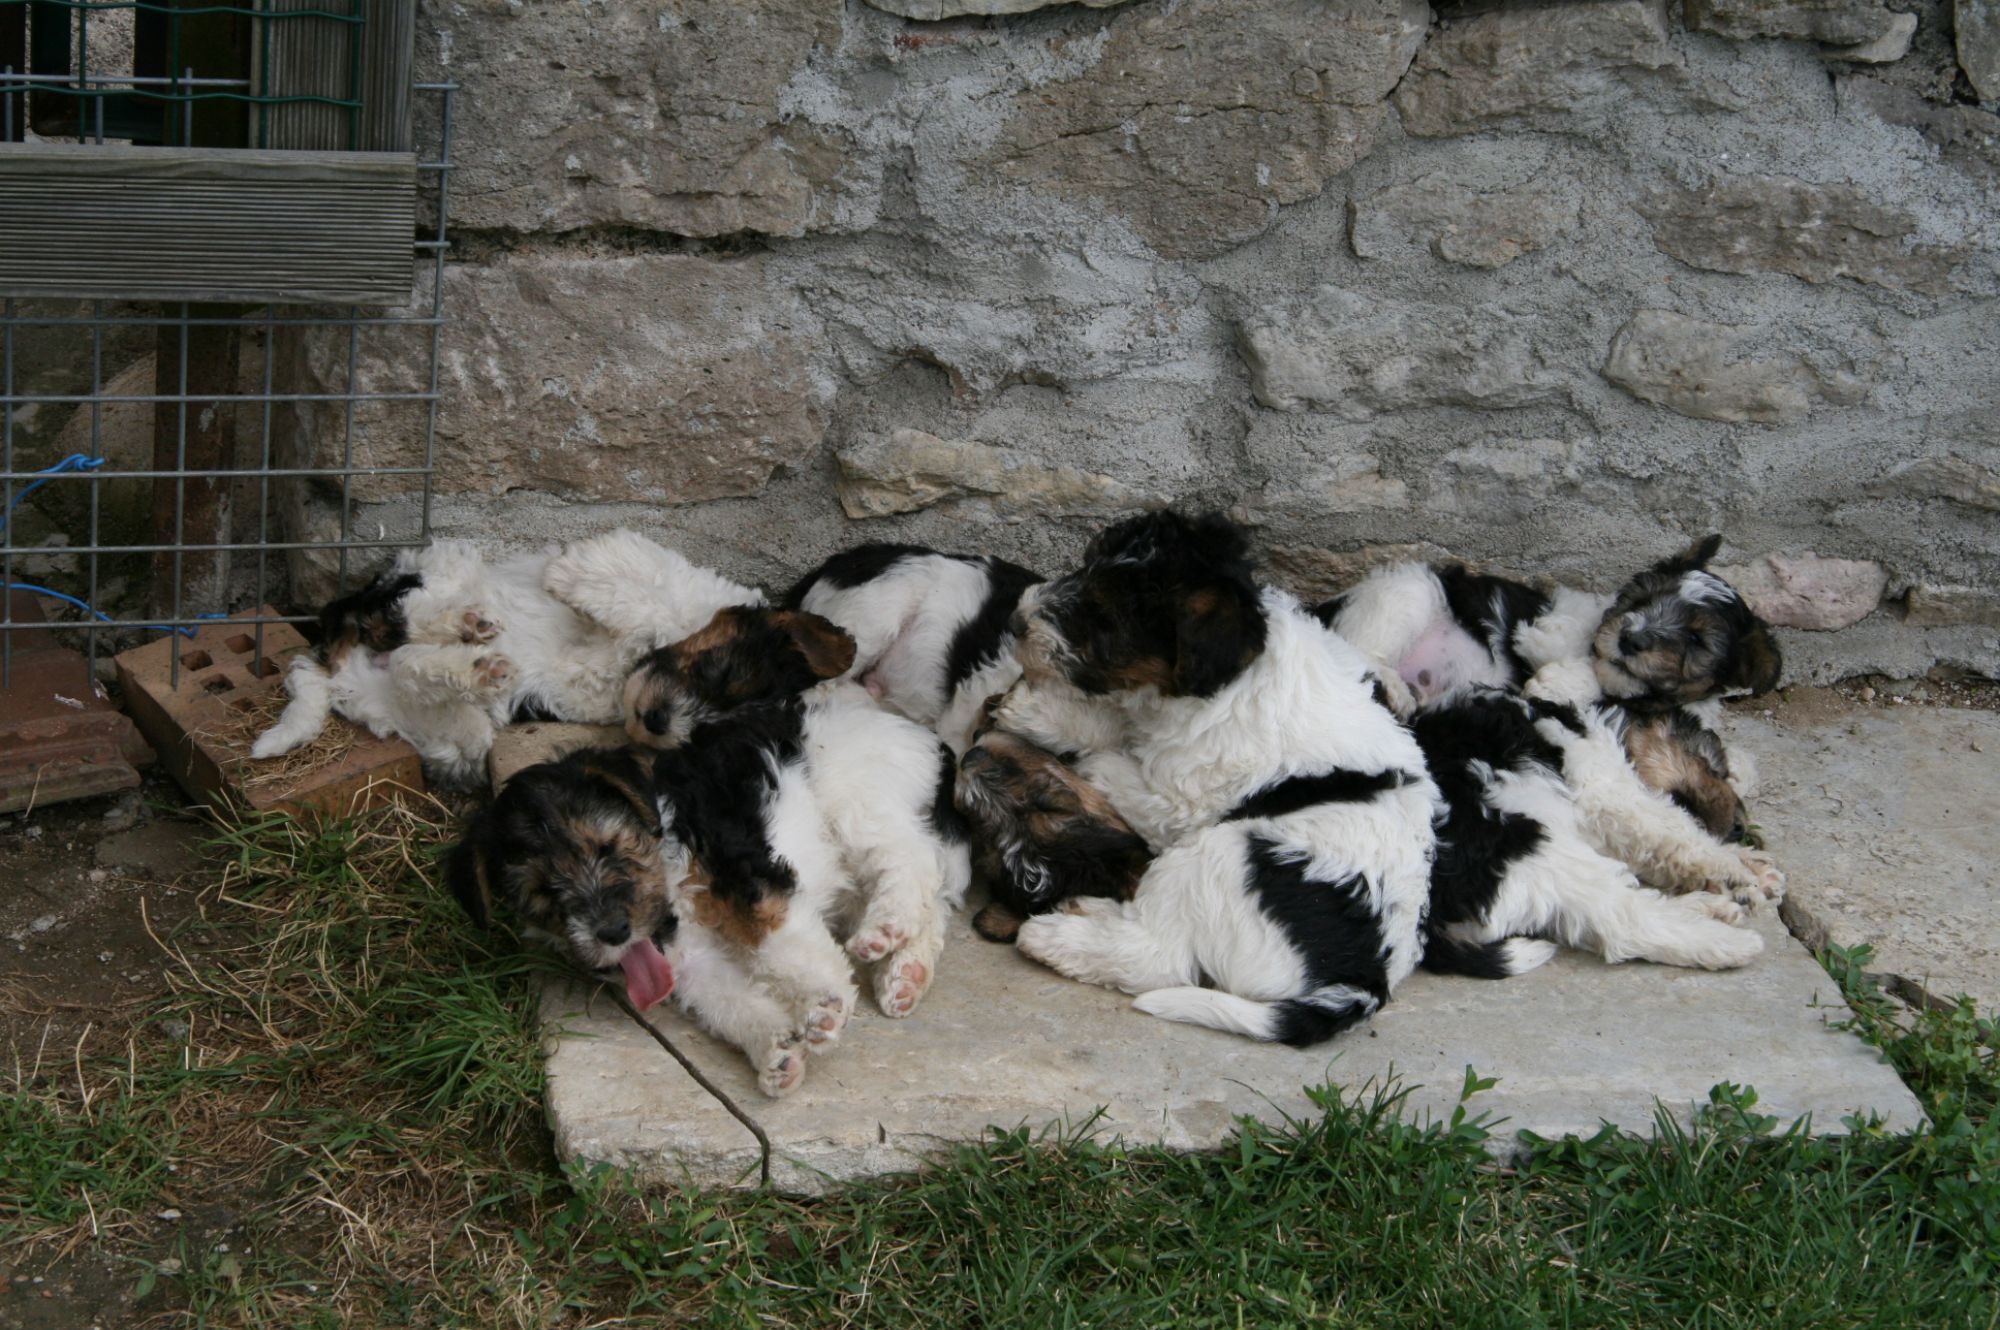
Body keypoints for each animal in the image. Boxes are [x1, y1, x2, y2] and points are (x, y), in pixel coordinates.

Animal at [253, 531, 761, 786]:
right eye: (716, 671)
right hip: (437, 571)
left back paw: (476, 665)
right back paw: (468, 625)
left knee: (409, 669)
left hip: (438, 725)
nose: (659, 723)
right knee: (399, 619)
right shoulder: (645, 563)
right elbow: (630, 587)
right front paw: (565, 574)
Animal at [443, 742, 853, 1098]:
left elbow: (775, 934)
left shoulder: (740, 874)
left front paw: (824, 1005)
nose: (613, 931)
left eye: (607, 848)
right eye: (542, 888)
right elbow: (733, 1001)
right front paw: (778, 1051)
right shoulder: (692, 963)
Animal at [621, 606, 972, 1019]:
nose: (655, 719)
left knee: (913, 860)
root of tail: (943, 760)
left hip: (860, 801)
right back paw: (904, 976)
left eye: (716, 670)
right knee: (932, 902)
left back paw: (884, 931)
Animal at [987, 511, 1441, 1046]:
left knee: (1157, 956)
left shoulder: (1180, 799)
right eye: (1086, 566)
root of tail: (1362, 982)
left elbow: (1117, 757)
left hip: (1217, 856)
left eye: (1107, 618)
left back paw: (1053, 939)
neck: (1231, 678)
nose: (1017, 621)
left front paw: (1045, 719)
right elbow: (1120, 719)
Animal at [1410, 687, 1762, 977]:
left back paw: (1709, 908)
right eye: (1713, 767)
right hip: (1535, 851)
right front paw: (1737, 869)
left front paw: (1751, 865)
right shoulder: (1612, 794)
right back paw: (1730, 945)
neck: (1604, 727)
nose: (1740, 827)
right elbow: (1675, 828)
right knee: (1626, 920)